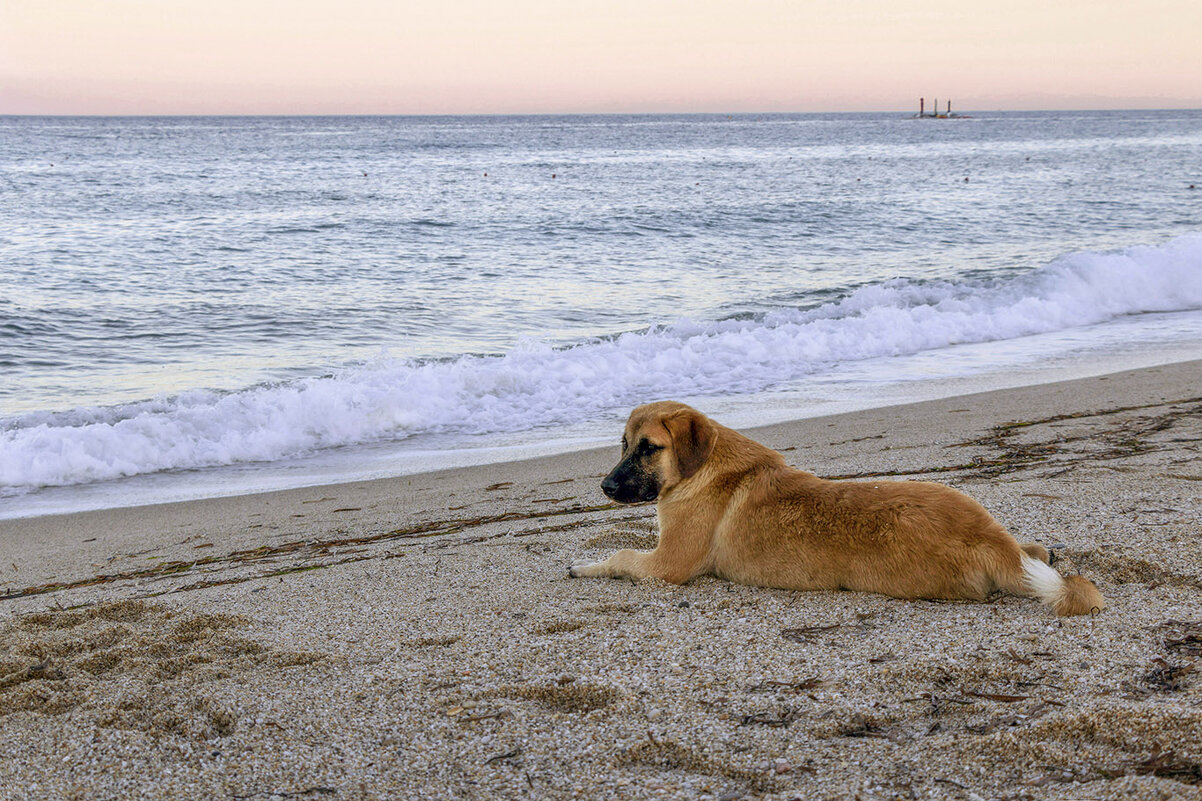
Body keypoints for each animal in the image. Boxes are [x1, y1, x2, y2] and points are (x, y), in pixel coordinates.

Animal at [567, 401, 1101, 613]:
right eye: (622, 445)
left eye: (648, 448)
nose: (605, 486)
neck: (706, 466)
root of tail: (987, 539)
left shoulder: (668, 564)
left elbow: (620, 556)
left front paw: (583, 564)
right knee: (1031, 549)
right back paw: (1040, 550)